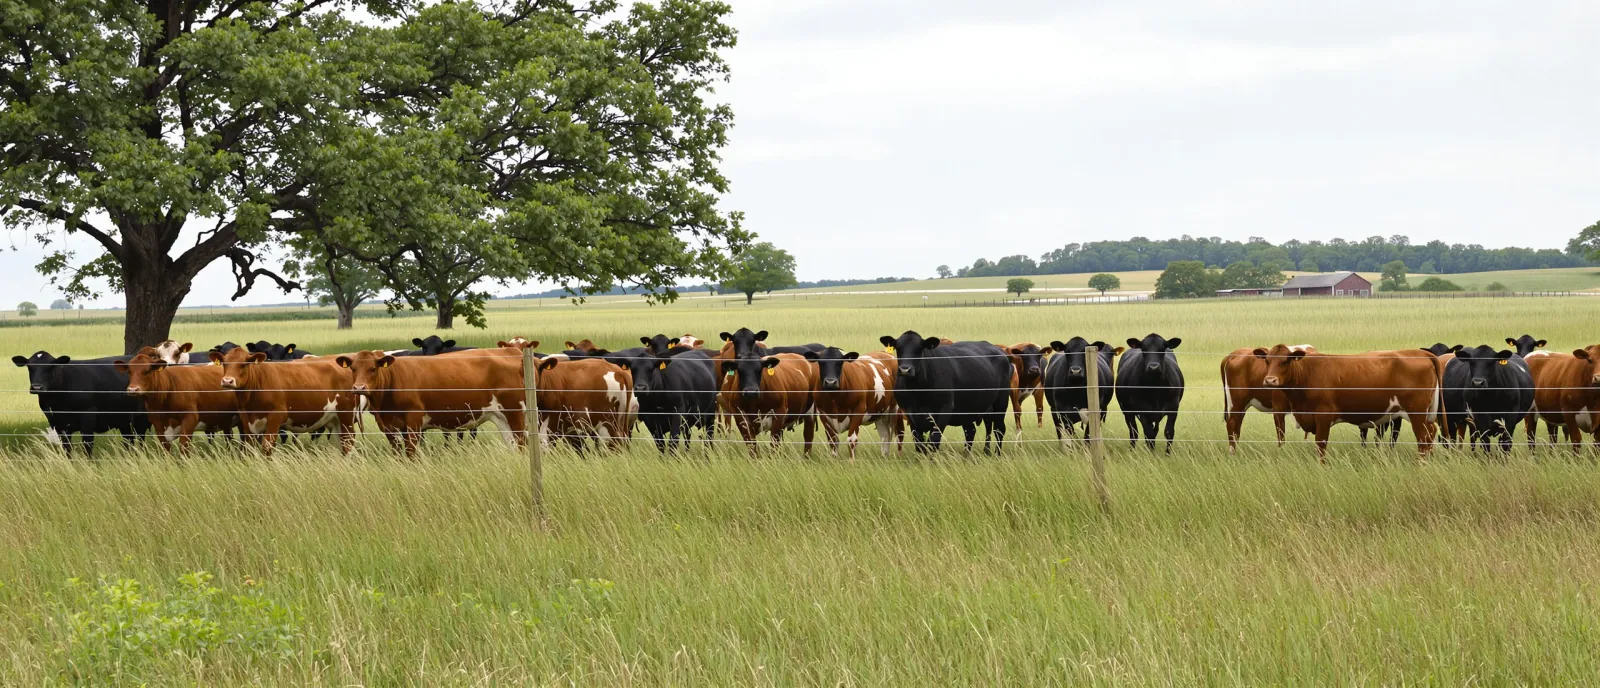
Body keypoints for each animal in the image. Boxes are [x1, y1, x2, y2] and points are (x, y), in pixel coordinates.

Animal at [14, 351, 150, 454]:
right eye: (30, 367)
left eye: (50, 367)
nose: (37, 387)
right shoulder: (58, 424)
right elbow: (67, 447)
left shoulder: (87, 417)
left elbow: (87, 444)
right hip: (123, 419)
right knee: (129, 440)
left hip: (141, 417)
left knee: (140, 438)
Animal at [213, 347, 358, 455]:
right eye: (225, 363)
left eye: (244, 364)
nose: (227, 381)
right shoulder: (247, 420)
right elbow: (249, 447)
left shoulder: (275, 417)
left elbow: (267, 447)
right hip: (334, 419)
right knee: (341, 442)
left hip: (346, 415)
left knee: (348, 441)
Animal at [336, 348, 526, 455]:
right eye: (353, 368)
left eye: (373, 368)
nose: (359, 388)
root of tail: (512, 351)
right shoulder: (388, 426)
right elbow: (397, 452)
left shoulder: (413, 421)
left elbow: (411, 451)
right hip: (500, 417)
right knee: (512, 445)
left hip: (516, 413)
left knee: (522, 442)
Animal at [879, 331, 1010, 454]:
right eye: (898, 348)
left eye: (920, 348)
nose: (905, 369)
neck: (918, 392)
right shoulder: (911, 415)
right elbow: (919, 444)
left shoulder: (943, 412)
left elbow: (933, 442)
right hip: (970, 408)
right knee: (972, 430)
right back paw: (971, 455)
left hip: (1000, 403)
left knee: (999, 429)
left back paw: (996, 453)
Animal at [1256, 344, 1441, 460]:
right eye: (1267, 361)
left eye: (1285, 360)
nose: (1270, 380)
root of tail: (1421, 353)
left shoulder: (1323, 416)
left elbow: (1321, 444)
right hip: (1421, 415)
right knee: (1430, 433)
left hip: (1416, 412)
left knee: (1422, 438)